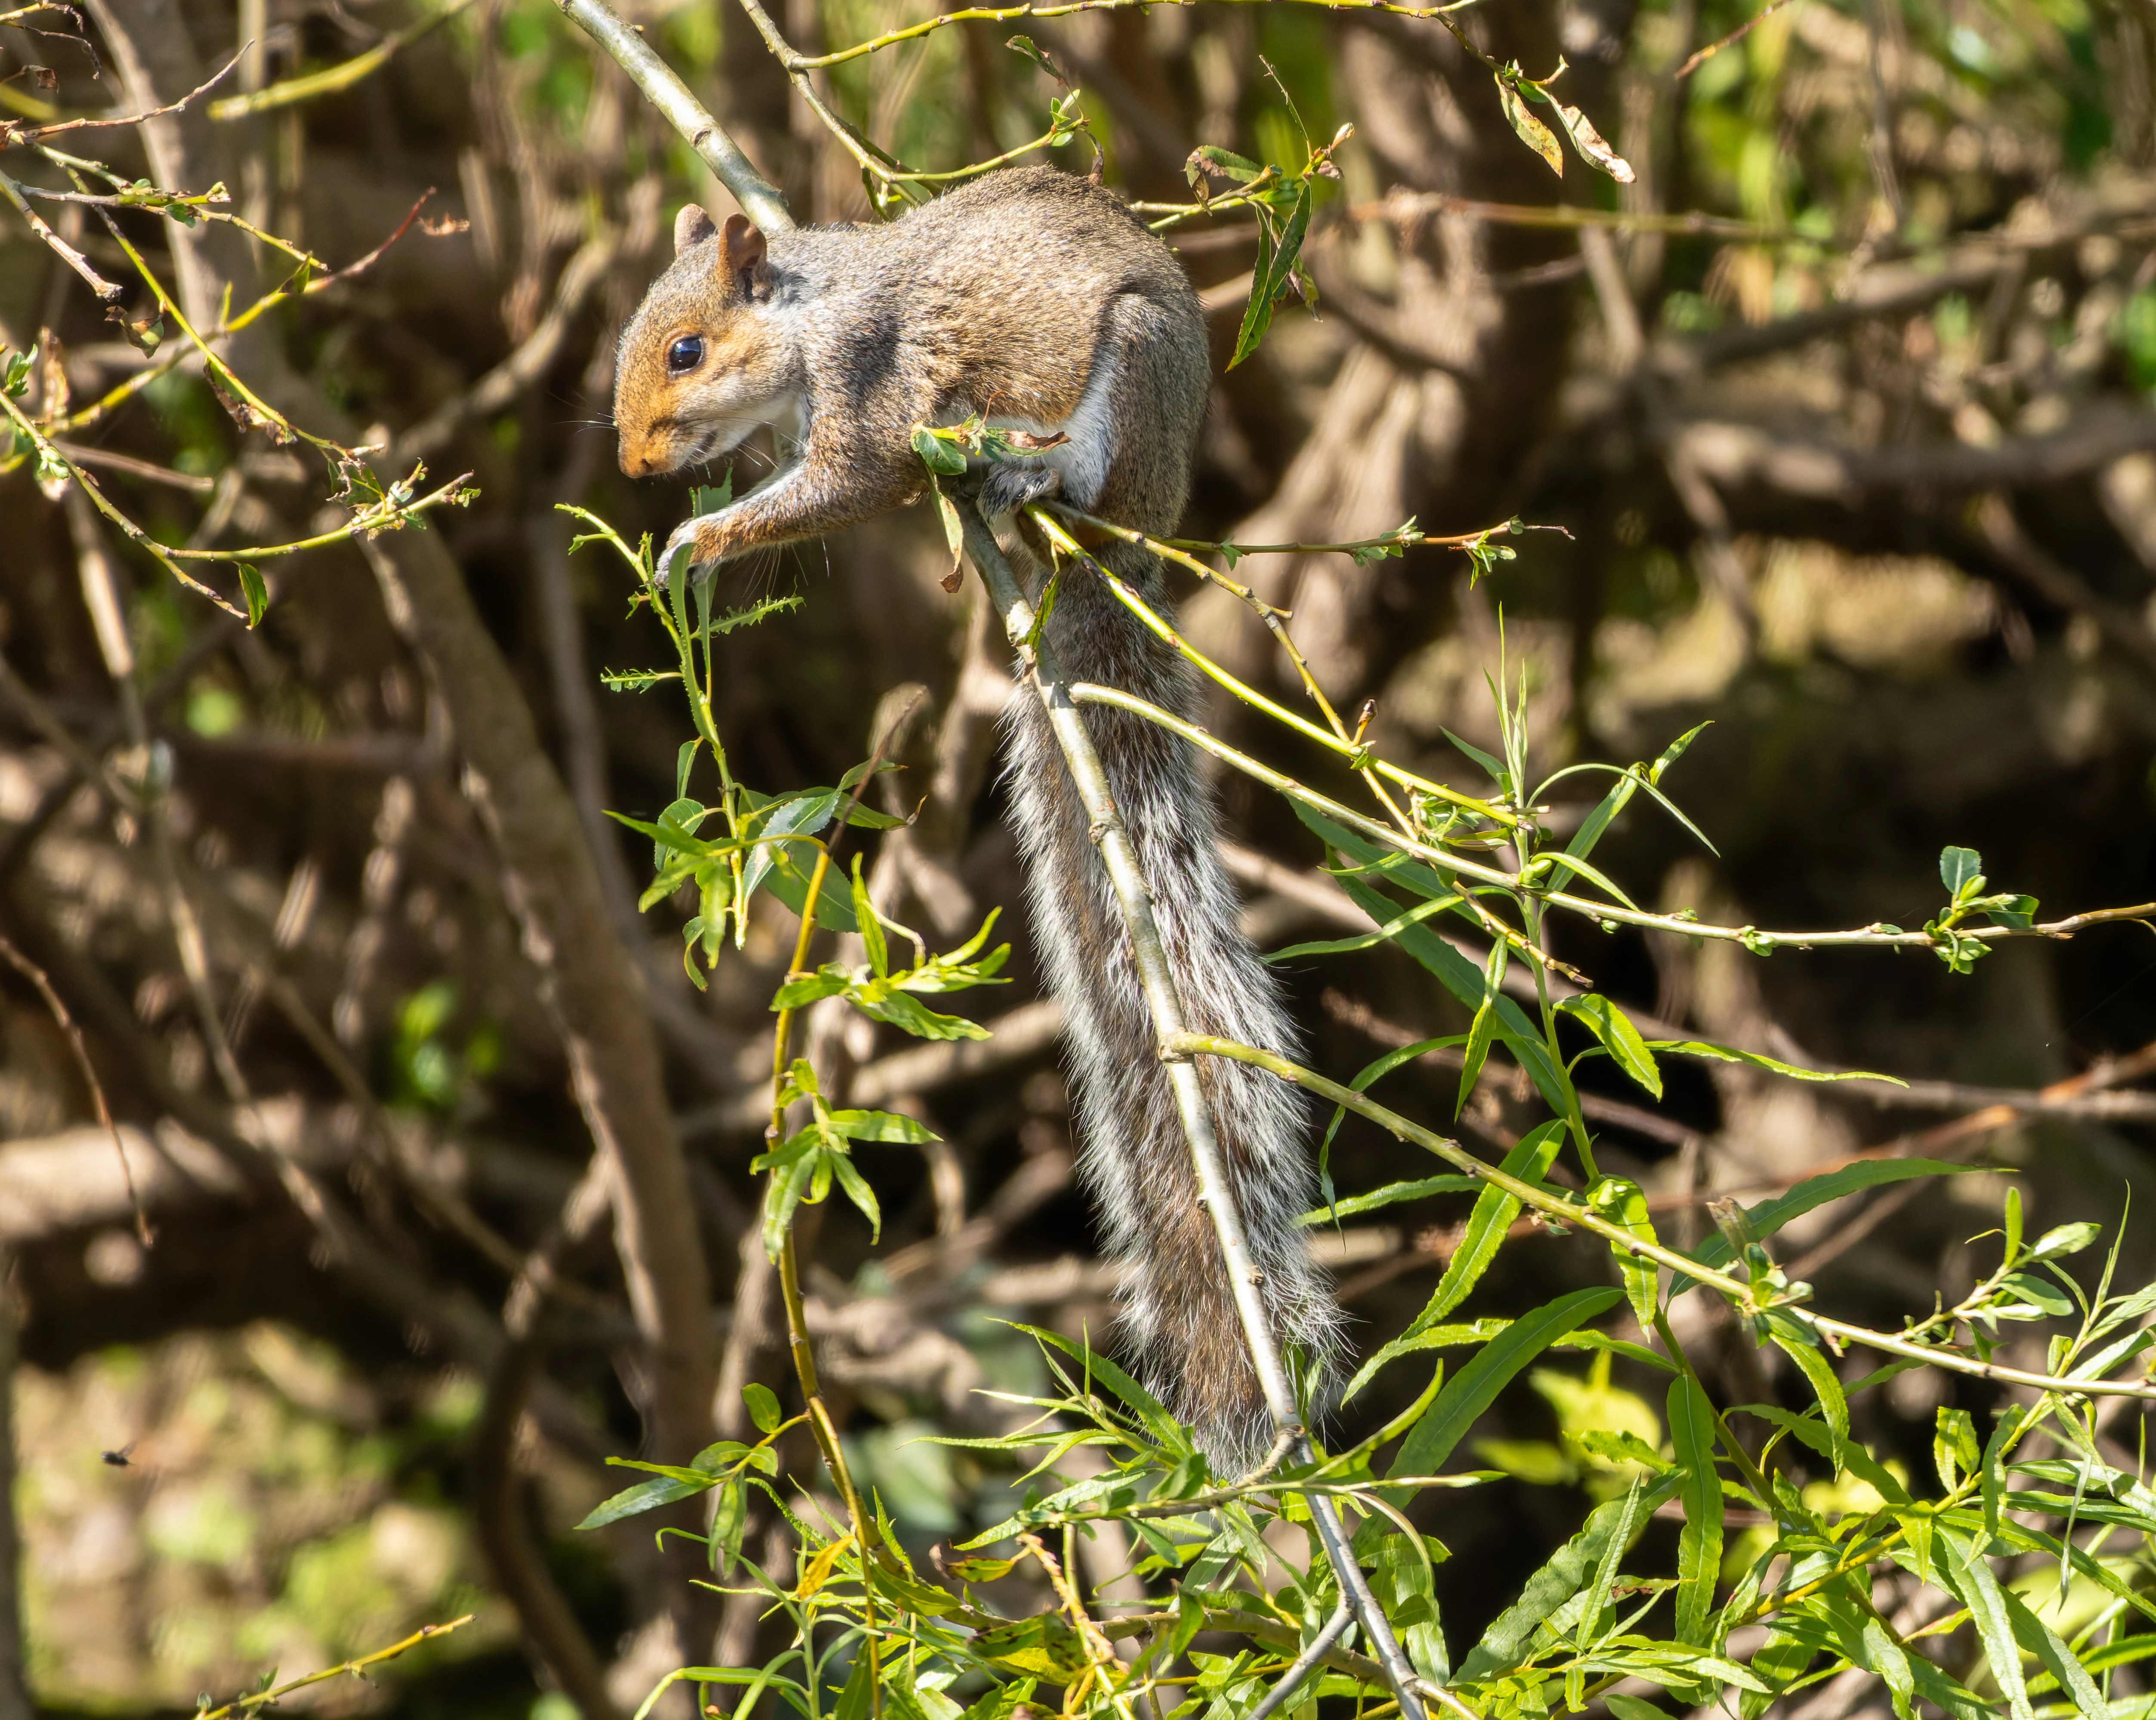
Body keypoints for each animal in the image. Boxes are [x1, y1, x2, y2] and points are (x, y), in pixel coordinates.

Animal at [613, 165, 1341, 1466]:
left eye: (687, 351)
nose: (640, 464)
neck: (809, 314)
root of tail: (1128, 547)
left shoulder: (870, 389)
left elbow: (852, 484)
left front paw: (703, 537)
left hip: (1129, 379)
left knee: (1077, 471)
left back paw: (1024, 477)